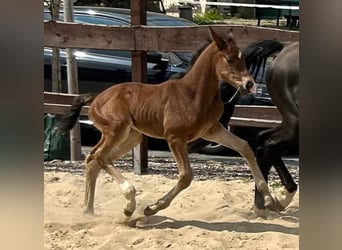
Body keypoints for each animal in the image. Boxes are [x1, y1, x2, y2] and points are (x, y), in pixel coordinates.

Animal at [57, 27, 274, 218]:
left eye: (243, 59)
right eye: (229, 59)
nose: (249, 84)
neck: (193, 94)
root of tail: (96, 98)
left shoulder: (211, 130)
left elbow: (245, 147)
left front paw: (271, 200)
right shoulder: (175, 138)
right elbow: (186, 176)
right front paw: (152, 208)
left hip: (131, 137)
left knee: (93, 160)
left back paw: (88, 211)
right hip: (116, 130)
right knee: (99, 157)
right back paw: (129, 204)